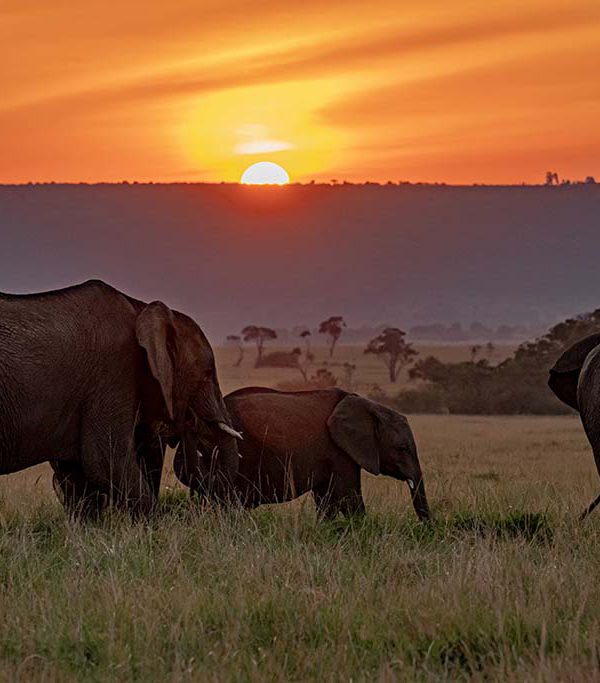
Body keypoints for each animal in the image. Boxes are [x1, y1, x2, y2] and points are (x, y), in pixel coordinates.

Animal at [174, 387, 430, 521]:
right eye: (402, 448)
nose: (427, 527)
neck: (367, 404)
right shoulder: (339, 451)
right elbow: (349, 499)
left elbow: (327, 500)